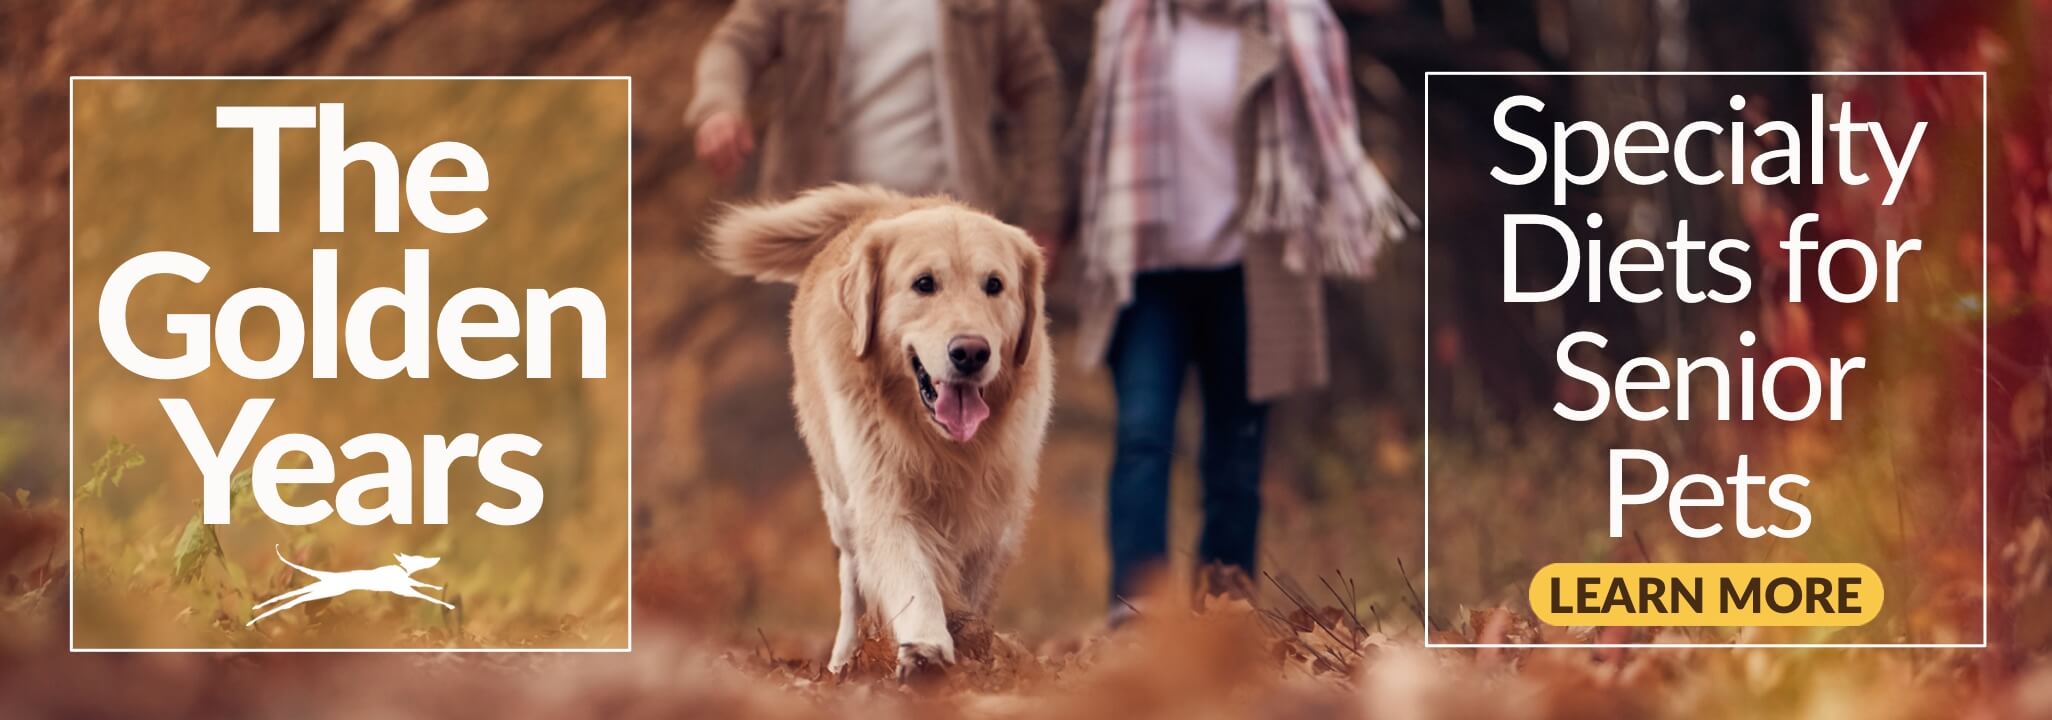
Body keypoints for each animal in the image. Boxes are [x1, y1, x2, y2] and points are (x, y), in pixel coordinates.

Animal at [709, 183, 1058, 681]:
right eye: (924, 284)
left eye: (994, 284)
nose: (971, 352)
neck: (942, 444)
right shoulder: (882, 489)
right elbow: (911, 574)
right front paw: (926, 649)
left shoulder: (996, 511)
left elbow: (972, 590)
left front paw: (971, 645)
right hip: (840, 501)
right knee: (853, 582)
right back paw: (845, 661)